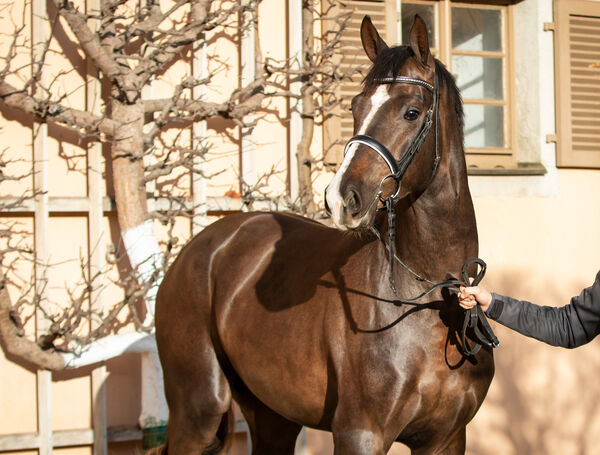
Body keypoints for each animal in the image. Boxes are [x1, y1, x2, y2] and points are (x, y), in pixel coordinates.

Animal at [155, 15, 492, 455]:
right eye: (355, 106)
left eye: (411, 111)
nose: (340, 198)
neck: (430, 301)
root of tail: (198, 250)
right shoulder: (359, 434)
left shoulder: (446, 439)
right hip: (198, 411)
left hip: (272, 417)